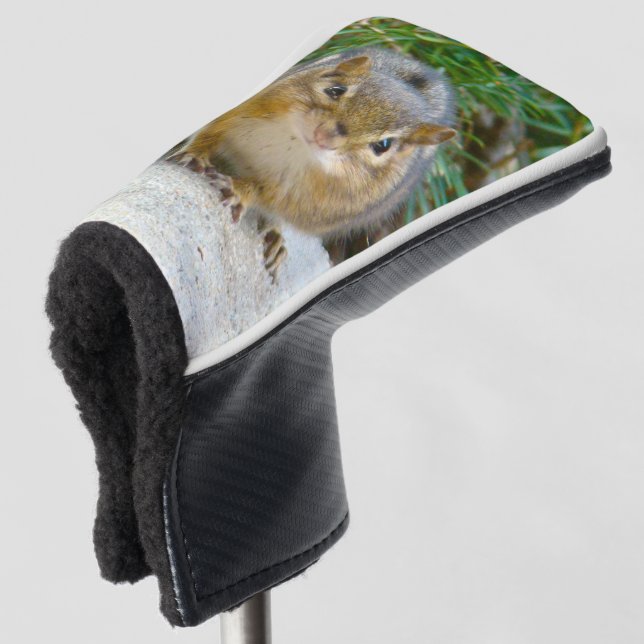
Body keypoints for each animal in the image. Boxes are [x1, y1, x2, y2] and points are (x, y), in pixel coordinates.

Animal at [165, 46, 456, 274]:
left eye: (383, 145)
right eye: (336, 90)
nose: (325, 135)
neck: (294, 145)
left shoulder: (306, 199)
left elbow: (263, 194)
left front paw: (240, 190)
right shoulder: (240, 113)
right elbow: (210, 133)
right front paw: (195, 153)